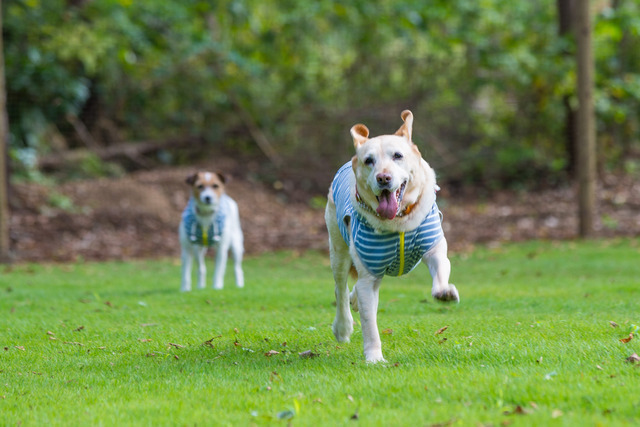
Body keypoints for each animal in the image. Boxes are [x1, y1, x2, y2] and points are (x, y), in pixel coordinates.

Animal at [328, 111, 458, 364]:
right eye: (369, 160)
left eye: (397, 156)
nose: (383, 178)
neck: (397, 220)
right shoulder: (368, 273)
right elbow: (370, 324)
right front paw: (374, 358)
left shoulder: (433, 245)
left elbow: (440, 265)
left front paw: (444, 292)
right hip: (338, 248)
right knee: (340, 288)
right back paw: (343, 326)